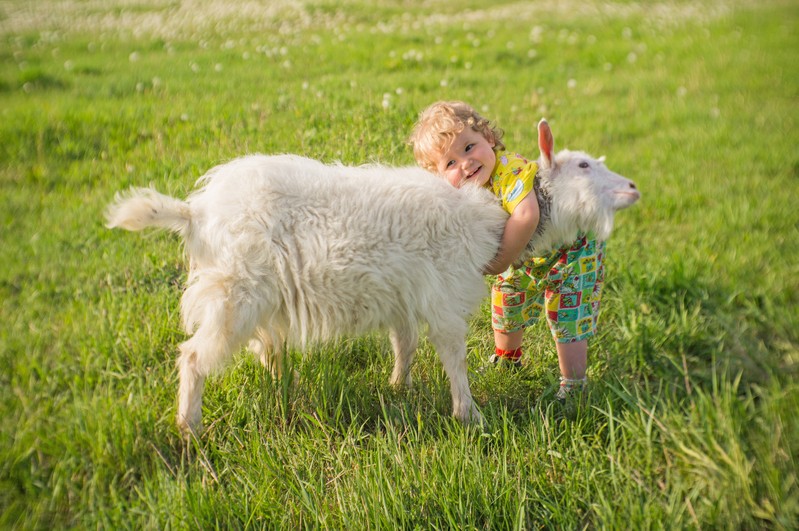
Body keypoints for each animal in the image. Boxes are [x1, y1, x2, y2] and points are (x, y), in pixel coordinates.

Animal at [106, 120, 640, 436]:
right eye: (583, 164)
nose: (634, 187)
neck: (486, 219)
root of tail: (195, 212)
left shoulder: (403, 296)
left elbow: (404, 343)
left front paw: (398, 386)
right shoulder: (442, 297)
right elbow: (453, 357)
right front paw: (470, 415)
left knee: (259, 346)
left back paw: (279, 385)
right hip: (234, 294)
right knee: (195, 357)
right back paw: (190, 426)